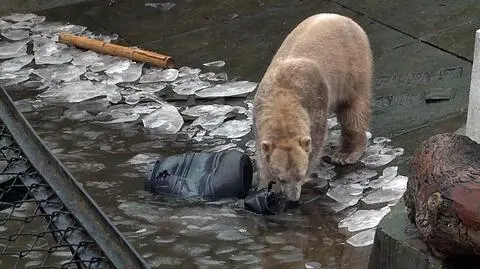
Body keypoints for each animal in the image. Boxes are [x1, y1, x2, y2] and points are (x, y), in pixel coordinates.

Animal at [253, 13, 374, 201]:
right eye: (282, 178)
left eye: (300, 175)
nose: (293, 199)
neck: (283, 97)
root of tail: (343, 18)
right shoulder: (259, 110)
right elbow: (261, 153)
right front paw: (265, 183)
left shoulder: (316, 98)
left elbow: (316, 142)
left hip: (354, 65)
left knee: (353, 109)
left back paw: (345, 154)